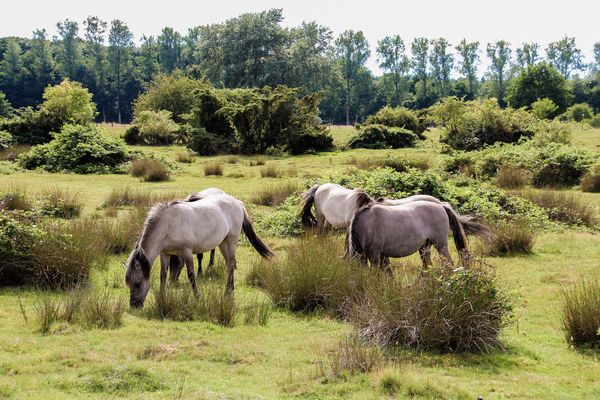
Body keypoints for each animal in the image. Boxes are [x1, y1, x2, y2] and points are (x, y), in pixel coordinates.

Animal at [125, 192, 274, 308]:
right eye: (129, 284)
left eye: (137, 283)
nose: (134, 305)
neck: (168, 225)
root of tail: (237, 202)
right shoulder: (164, 254)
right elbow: (163, 275)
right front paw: (162, 296)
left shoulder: (186, 252)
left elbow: (191, 275)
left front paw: (197, 296)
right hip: (223, 243)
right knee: (229, 265)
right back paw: (231, 289)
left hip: (232, 240)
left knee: (231, 264)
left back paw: (227, 292)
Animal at [346, 200, 474, 268]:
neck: (368, 224)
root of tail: (441, 206)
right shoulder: (381, 255)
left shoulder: (375, 255)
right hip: (425, 247)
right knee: (427, 265)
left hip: (440, 245)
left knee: (448, 262)